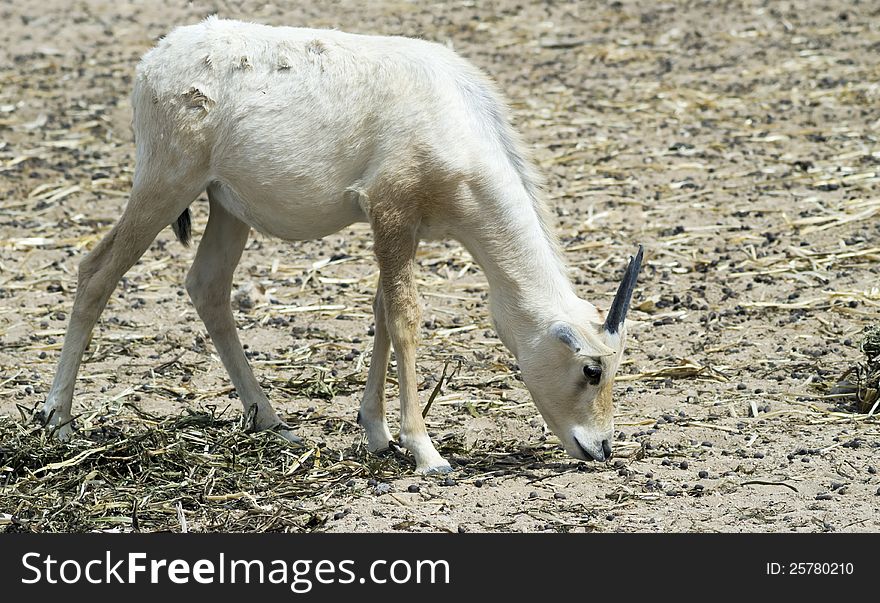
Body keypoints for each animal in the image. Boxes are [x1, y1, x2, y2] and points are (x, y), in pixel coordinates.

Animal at [37, 16, 644, 474]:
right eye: (592, 369)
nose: (600, 448)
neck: (452, 110)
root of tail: (156, 57)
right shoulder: (390, 211)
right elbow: (404, 316)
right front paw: (426, 452)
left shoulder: (401, 227)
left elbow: (380, 312)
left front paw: (377, 433)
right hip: (166, 182)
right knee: (97, 271)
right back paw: (58, 421)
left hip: (226, 205)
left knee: (207, 286)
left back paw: (271, 422)